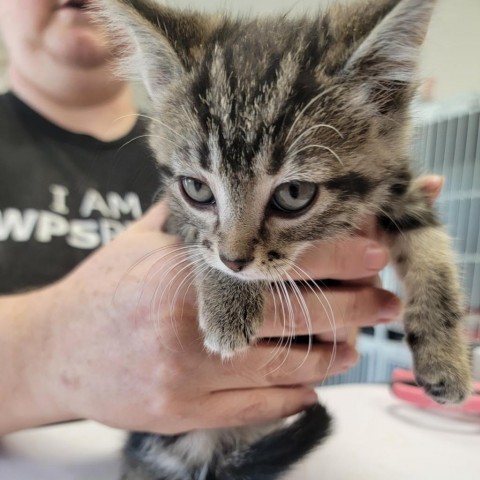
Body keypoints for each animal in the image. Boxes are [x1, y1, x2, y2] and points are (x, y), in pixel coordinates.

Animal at [94, 0, 472, 478]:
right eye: (196, 189)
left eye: (294, 194)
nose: (234, 261)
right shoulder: (171, 212)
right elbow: (198, 239)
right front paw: (228, 304)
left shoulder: (399, 184)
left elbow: (431, 248)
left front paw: (447, 357)